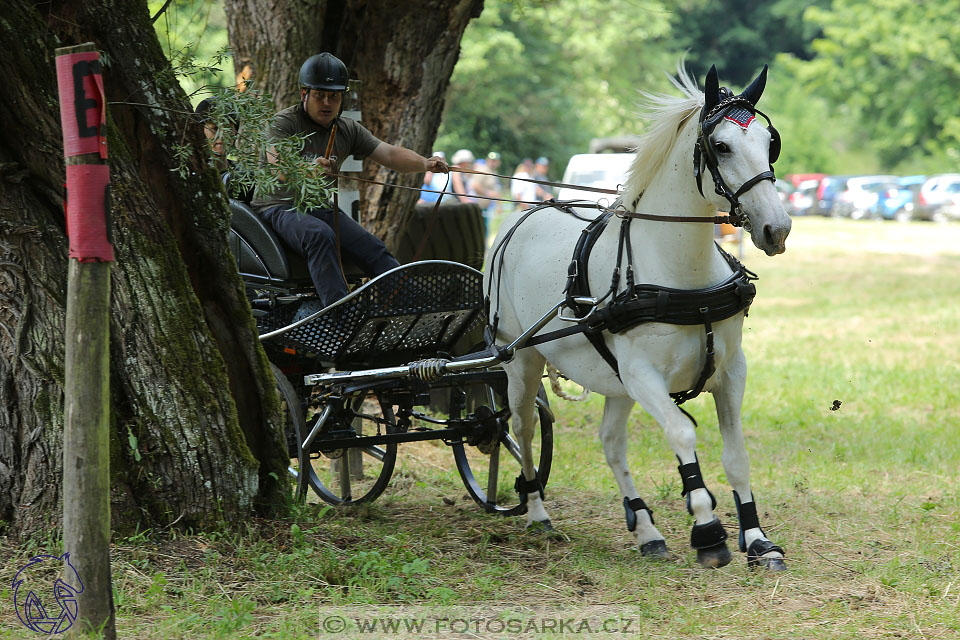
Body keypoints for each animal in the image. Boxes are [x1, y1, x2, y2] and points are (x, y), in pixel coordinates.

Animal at [484, 62, 792, 568]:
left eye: (771, 142)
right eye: (721, 145)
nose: (777, 228)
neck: (683, 275)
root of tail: (520, 218)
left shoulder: (730, 371)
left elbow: (736, 456)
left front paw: (756, 539)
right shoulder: (643, 375)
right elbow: (682, 435)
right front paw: (708, 531)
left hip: (615, 382)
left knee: (611, 443)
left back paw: (646, 529)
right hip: (521, 360)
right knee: (523, 427)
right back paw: (537, 512)